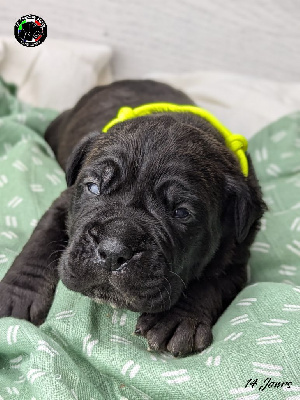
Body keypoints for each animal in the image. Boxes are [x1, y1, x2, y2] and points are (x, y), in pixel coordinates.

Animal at [0, 81, 268, 356]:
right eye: (93, 187)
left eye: (181, 213)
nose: (112, 251)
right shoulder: (63, 204)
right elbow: (39, 246)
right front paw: (16, 296)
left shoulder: (238, 258)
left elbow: (212, 282)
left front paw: (178, 319)